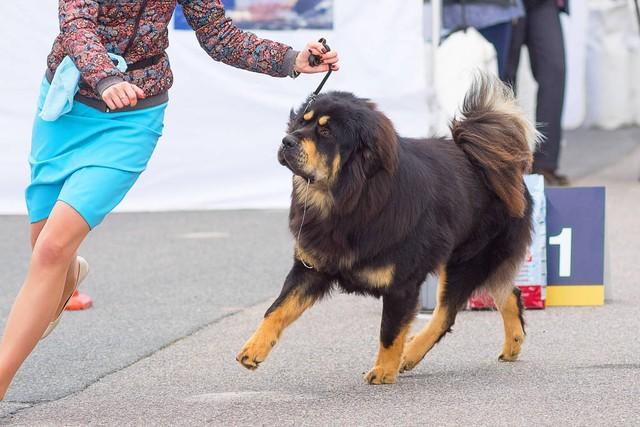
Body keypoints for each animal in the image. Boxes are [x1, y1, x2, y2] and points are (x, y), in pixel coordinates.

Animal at [238, 75, 536, 386]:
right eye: (301, 123)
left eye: (326, 132)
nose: (287, 140)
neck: (347, 198)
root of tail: (501, 164)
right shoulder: (312, 268)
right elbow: (277, 309)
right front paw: (254, 348)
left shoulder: (402, 283)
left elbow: (390, 331)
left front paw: (384, 369)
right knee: (510, 293)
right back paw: (513, 344)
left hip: (466, 261)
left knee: (445, 315)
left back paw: (410, 353)